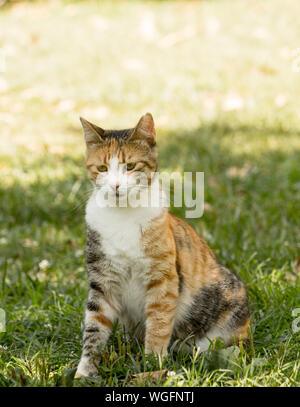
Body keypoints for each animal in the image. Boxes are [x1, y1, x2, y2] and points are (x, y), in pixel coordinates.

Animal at [74, 113, 248, 378]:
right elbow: (94, 329)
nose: (115, 186)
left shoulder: (162, 279)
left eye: (130, 166)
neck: (121, 216)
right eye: (102, 168)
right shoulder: (102, 281)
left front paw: (152, 364)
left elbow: (158, 323)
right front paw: (84, 372)